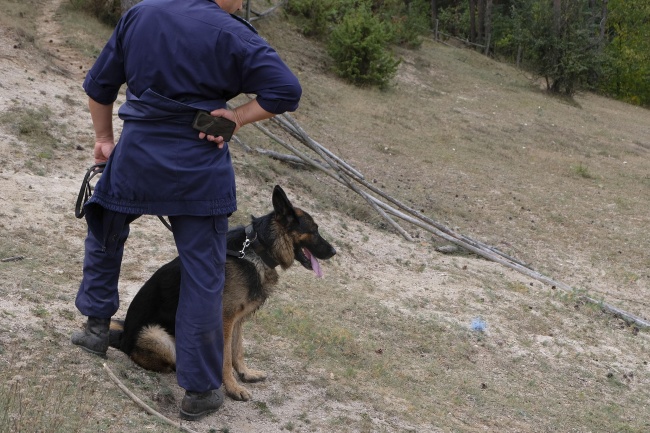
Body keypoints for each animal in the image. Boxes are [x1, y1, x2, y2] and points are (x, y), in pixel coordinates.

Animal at [107, 184, 334, 400]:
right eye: (314, 230)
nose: (334, 252)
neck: (255, 249)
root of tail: (123, 337)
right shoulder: (225, 319)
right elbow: (225, 357)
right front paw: (232, 387)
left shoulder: (238, 319)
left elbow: (238, 349)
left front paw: (245, 373)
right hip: (157, 335)